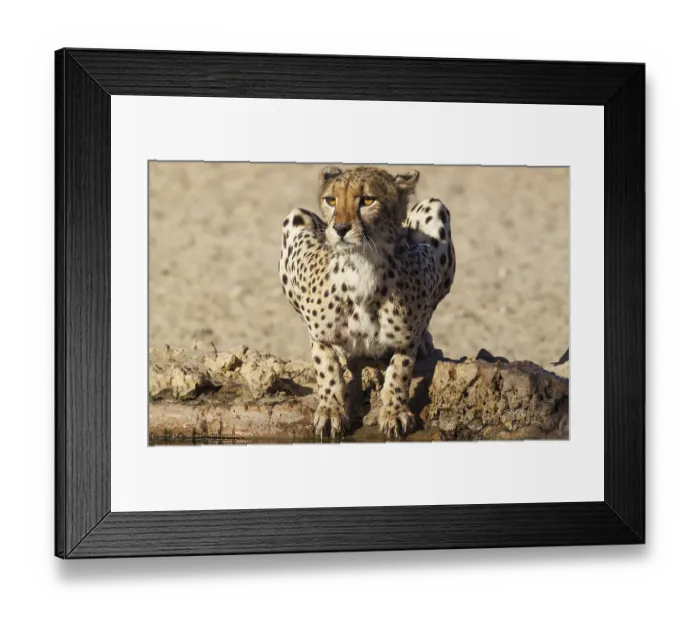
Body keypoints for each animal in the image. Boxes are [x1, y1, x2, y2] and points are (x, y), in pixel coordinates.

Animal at [278, 166, 456, 440]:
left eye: (368, 200)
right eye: (331, 200)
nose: (340, 228)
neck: (361, 266)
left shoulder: (406, 339)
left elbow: (400, 371)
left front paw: (394, 412)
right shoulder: (318, 335)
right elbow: (327, 369)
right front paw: (330, 411)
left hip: (434, 209)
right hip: (296, 219)